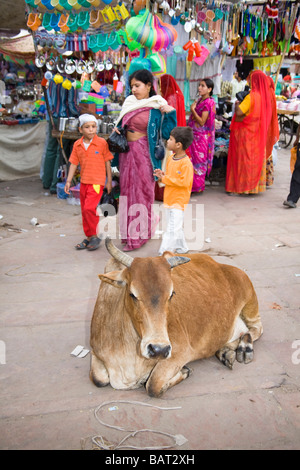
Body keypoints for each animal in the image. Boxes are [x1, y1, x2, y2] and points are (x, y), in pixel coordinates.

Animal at [89, 239, 262, 396]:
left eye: (171, 294)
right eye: (132, 294)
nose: (159, 349)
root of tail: (217, 263)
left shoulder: (180, 352)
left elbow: (153, 385)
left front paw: (184, 371)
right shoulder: (95, 352)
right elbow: (98, 379)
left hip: (250, 301)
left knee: (256, 329)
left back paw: (244, 347)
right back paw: (225, 352)